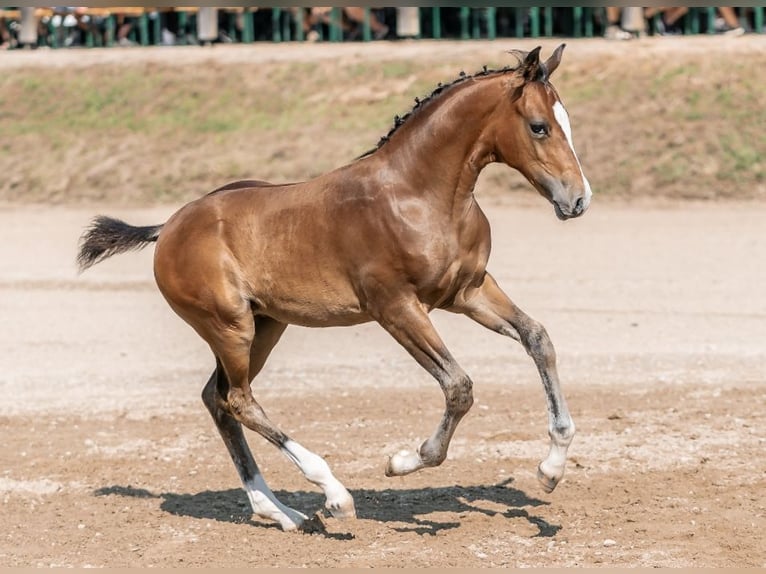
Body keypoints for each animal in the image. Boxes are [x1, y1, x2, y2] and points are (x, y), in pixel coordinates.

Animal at [78, 46, 592, 536]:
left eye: (566, 121)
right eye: (540, 127)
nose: (579, 199)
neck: (420, 195)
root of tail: (169, 226)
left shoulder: (467, 292)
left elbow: (538, 339)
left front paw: (550, 470)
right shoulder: (396, 307)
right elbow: (458, 387)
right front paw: (403, 461)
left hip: (266, 325)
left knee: (218, 399)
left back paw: (283, 513)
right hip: (230, 327)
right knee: (239, 400)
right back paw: (333, 495)